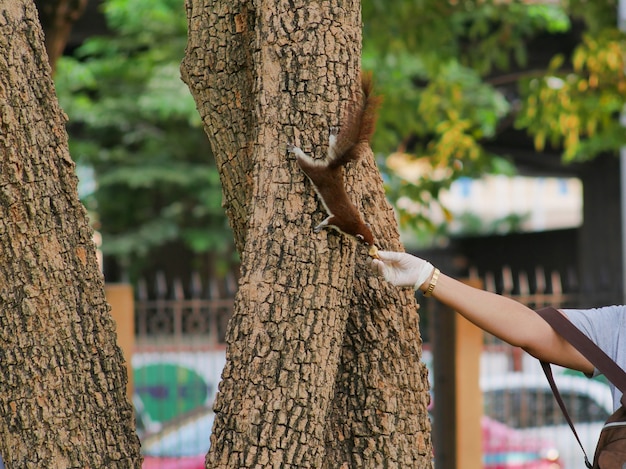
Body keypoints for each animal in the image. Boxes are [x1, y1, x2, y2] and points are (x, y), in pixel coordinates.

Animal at [288, 72, 380, 260]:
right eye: (365, 242)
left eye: (372, 238)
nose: (373, 248)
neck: (356, 224)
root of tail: (331, 167)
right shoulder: (339, 221)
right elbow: (328, 221)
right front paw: (318, 227)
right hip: (317, 173)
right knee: (305, 163)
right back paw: (295, 150)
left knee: (331, 146)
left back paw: (332, 134)